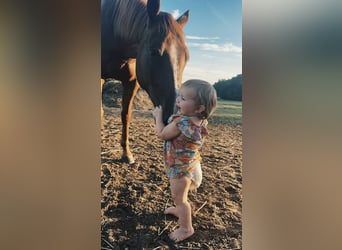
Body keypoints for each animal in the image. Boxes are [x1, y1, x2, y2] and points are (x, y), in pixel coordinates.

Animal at [100, 0, 191, 164]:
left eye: (186, 57)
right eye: (154, 51)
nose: (174, 114)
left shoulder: (132, 82)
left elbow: (126, 115)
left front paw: (126, 153)